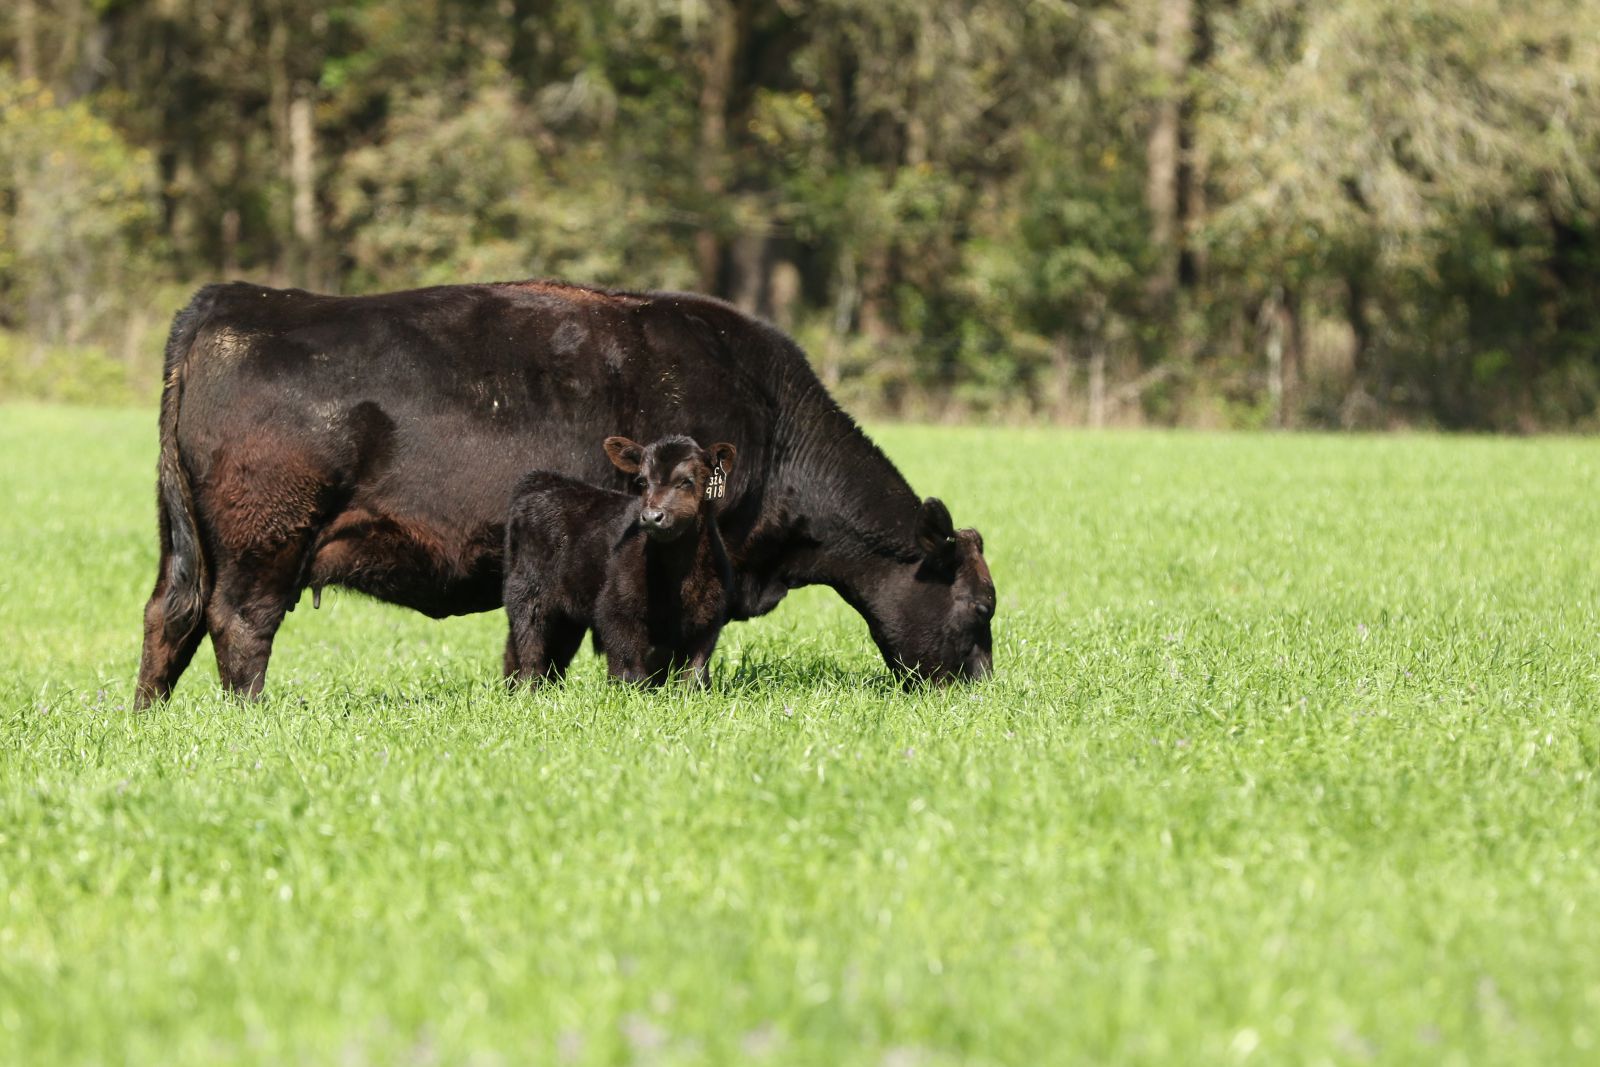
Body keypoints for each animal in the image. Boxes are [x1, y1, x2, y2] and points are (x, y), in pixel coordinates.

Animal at [503, 434, 736, 687]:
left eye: (687, 481)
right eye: (642, 482)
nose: (652, 517)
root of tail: (543, 481)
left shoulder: (709, 617)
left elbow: (695, 671)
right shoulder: (615, 608)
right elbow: (628, 667)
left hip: (567, 611)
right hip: (527, 590)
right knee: (530, 645)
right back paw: (528, 687)